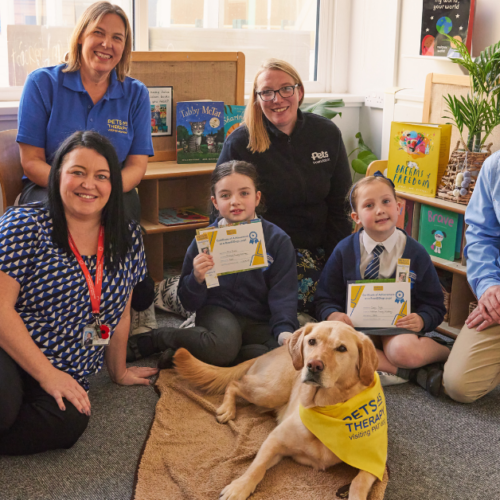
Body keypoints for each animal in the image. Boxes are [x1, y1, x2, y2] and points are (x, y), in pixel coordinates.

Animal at [174, 320, 380, 500]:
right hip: (271, 391)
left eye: (342, 348)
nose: (313, 365)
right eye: (312, 341)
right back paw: (227, 408)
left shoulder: (375, 461)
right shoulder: (275, 440)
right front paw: (239, 487)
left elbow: (359, 482)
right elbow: (256, 467)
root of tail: (272, 350)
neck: (326, 407)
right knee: (234, 383)